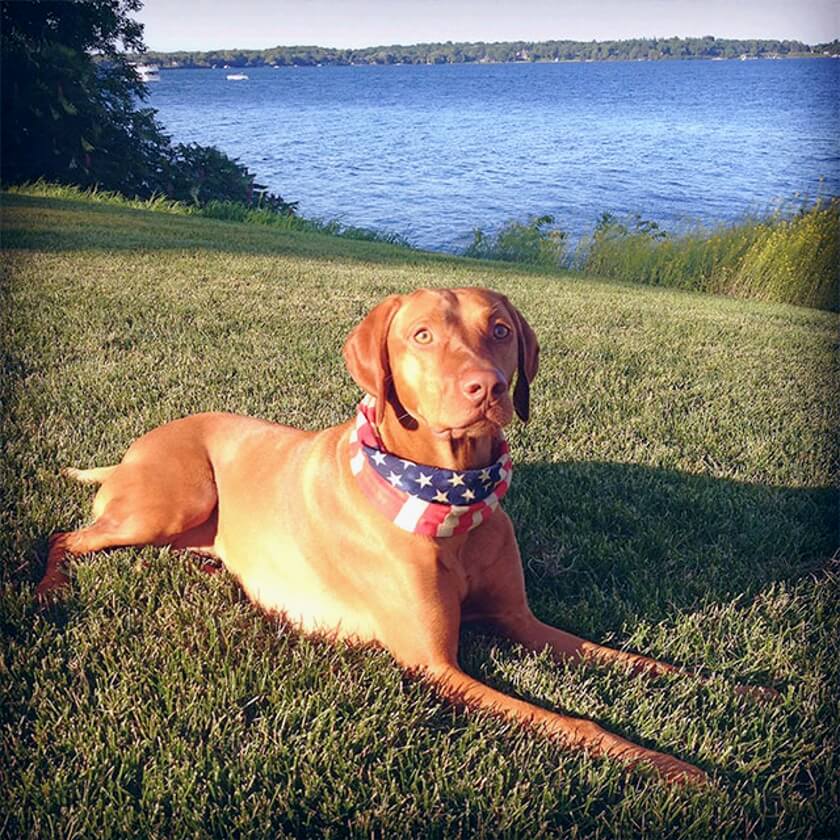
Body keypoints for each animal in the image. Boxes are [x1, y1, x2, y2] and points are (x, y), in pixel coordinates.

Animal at [41, 288, 776, 780]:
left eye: (500, 330)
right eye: (421, 335)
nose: (488, 387)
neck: (449, 498)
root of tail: (131, 451)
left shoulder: (521, 621)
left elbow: (636, 661)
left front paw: (749, 692)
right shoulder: (436, 666)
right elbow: (578, 722)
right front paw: (677, 769)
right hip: (174, 497)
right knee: (63, 536)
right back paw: (49, 591)